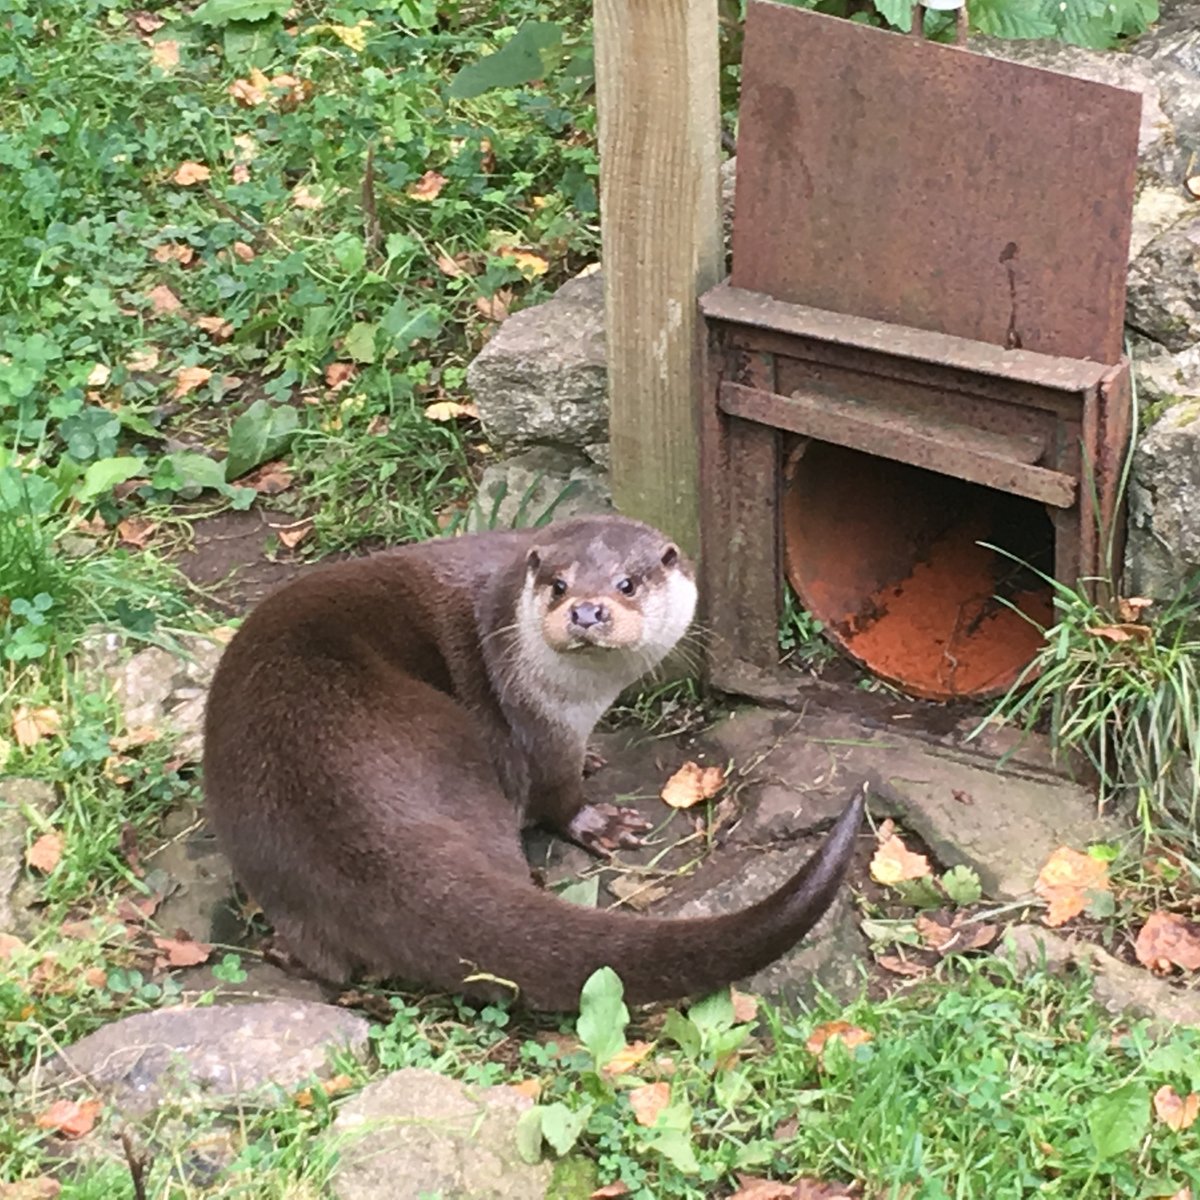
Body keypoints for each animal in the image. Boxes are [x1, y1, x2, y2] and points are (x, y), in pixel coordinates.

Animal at [201, 516, 868, 1012]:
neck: (578, 699)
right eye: (558, 585)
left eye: (627, 584)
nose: (588, 611)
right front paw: (599, 823)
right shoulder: (538, 728)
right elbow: (556, 794)